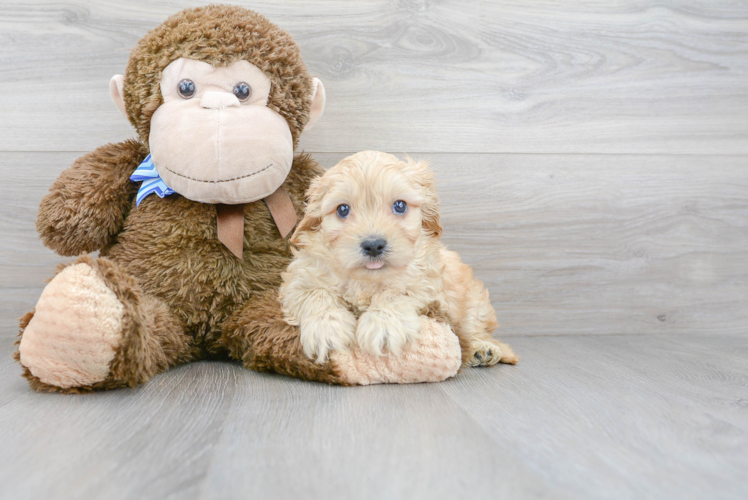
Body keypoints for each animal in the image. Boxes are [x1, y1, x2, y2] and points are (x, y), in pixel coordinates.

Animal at [278, 150, 516, 366]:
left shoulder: (427, 282)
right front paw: (326, 329)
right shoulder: (300, 279)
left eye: (399, 206)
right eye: (343, 209)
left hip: (473, 303)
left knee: (473, 328)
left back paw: (482, 349)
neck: (367, 280)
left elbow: (397, 292)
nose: (373, 245)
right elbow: (316, 294)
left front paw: (383, 325)